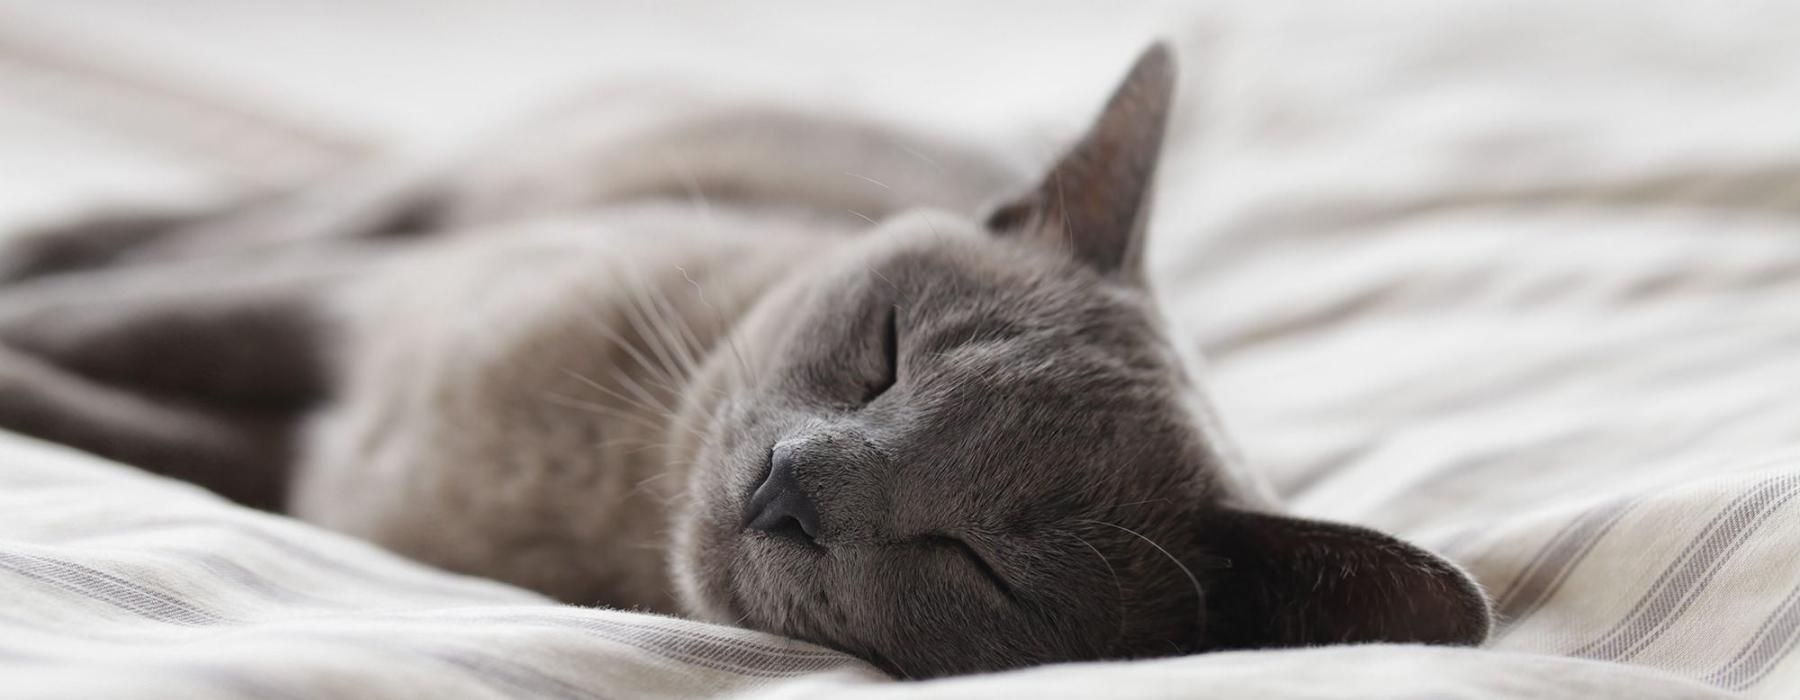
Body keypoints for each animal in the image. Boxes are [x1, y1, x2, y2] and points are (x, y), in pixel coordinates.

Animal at [0, 43, 1490, 676]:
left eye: (982, 562)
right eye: (884, 353)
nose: (789, 488)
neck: (597, 491)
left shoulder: (292, 463)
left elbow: (110, 417)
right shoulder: (346, 309)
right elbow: (111, 327)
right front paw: (26, 320)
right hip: (422, 201)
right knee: (211, 224)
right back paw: (47, 234)